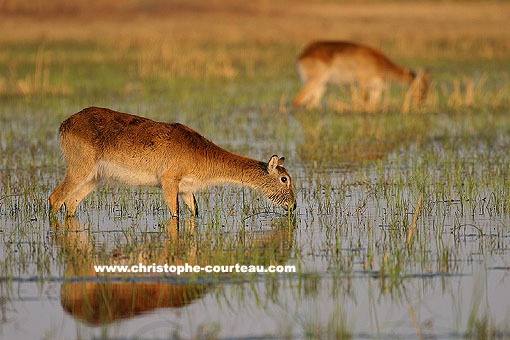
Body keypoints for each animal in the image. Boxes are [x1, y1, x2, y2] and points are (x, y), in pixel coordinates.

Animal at [49, 107, 296, 218]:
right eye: (284, 179)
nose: (293, 206)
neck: (199, 151)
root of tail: (65, 123)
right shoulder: (169, 182)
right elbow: (175, 215)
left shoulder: (186, 189)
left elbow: (194, 212)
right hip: (79, 171)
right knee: (54, 199)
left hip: (93, 179)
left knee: (70, 204)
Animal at [292, 40, 428, 109]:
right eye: (421, 88)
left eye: (428, 89)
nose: (421, 102)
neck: (379, 63)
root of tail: (302, 55)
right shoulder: (363, 83)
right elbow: (363, 102)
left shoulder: (376, 87)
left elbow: (373, 105)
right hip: (313, 81)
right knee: (297, 100)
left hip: (321, 86)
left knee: (311, 104)